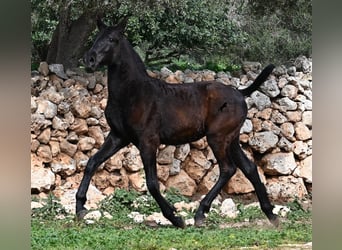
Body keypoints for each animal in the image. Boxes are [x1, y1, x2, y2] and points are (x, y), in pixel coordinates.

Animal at [76, 18, 280, 229]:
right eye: (96, 37)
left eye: (112, 39)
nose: (89, 60)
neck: (133, 93)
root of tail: (240, 93)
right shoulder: (118, 136)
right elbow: (92, 162)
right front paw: (80, 208)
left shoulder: (148, 141)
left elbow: (152, 183)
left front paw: (175, 217)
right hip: (231, 139)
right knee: (249, 168)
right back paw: (270, 214)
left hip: (218, 137)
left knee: (228, 169)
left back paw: (200, 213)